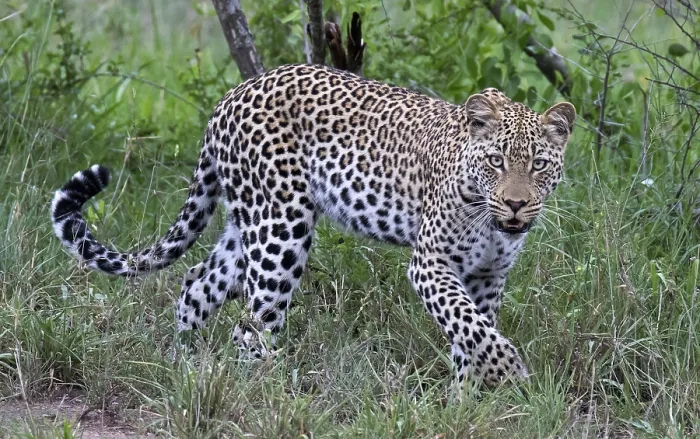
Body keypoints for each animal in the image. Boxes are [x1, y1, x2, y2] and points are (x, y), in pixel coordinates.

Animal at [51, 63, 576, 388]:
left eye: (539, 165)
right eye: (495, 161)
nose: (515, 205)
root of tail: (229, 97)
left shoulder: (489, 275)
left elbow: (472, 333)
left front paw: (468, 398)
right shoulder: (430, 263)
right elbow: (472, 327)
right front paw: (511, 373)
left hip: (248, 225)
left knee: (198, 282)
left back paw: (187, 364)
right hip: (281, 227)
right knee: (251, 325)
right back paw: (272, 391)